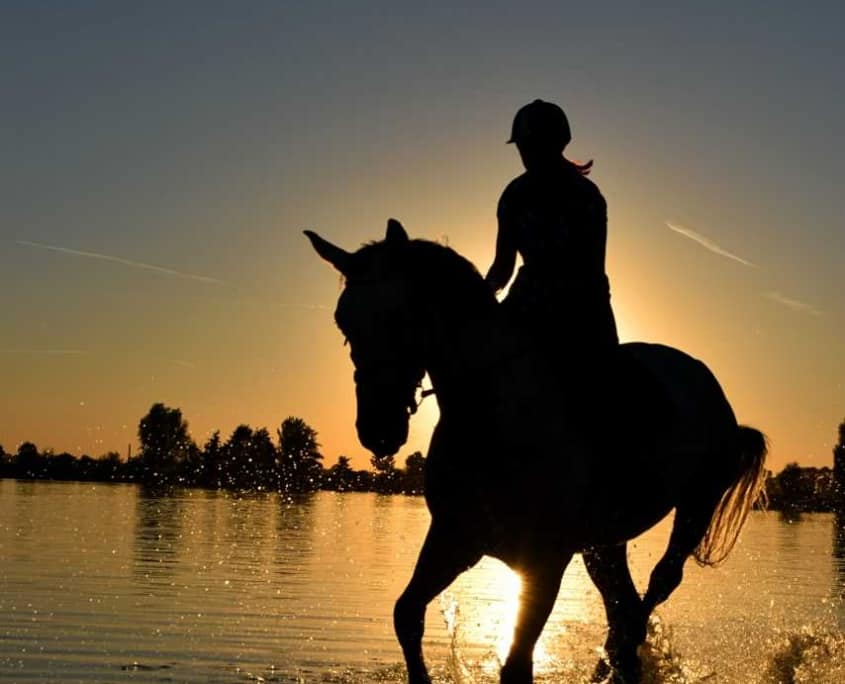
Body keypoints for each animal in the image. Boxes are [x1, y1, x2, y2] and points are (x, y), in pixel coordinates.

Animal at [304, 220, 764, 684]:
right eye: (343, 322)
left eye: (401, 317)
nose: (378, 430)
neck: (495, 418)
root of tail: (706, 382)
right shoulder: (456, 538)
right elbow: (407, 614)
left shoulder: (544, 560)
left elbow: (516, 664)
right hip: (603, 543)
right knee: (622, 607)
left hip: (694, 507)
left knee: (653, 591)